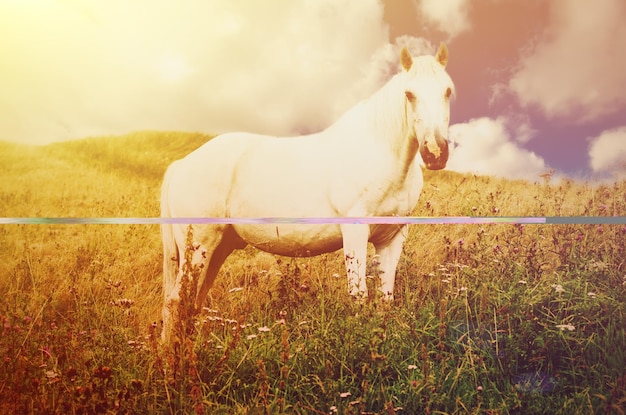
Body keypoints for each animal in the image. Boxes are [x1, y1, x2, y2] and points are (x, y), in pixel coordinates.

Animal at [161, 43, 454, 342]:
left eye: (447, 91)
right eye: (409, 94)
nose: (435, 153)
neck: (380, 151)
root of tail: (182, 165)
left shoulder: (392, 238)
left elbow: (386, 298)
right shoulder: (356, 232)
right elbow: (359, 296)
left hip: (218, 249)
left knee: (193, 301)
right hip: (200, 247)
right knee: (175, 302)